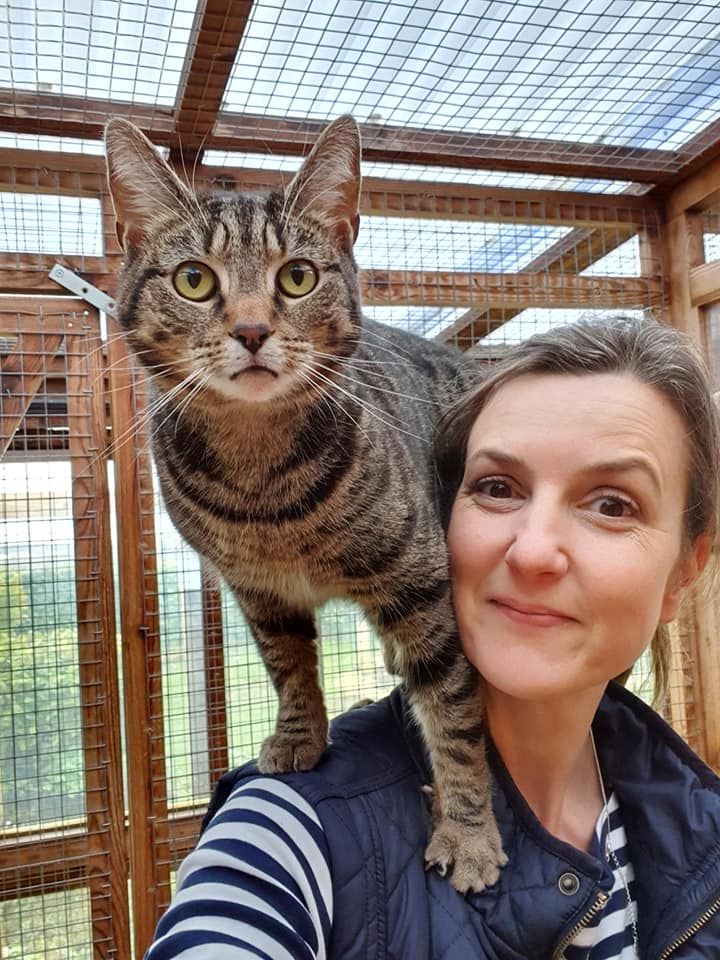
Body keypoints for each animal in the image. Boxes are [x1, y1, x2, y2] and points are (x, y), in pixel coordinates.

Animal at [105, 114, 506, 892]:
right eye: (194, 280)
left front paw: (469, 828)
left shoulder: (421, 583)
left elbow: (455, 715)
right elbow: (287, 667)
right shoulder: (256, 589)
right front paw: (301, 736)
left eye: (297, 276)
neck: (263, 487)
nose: (252, 330)